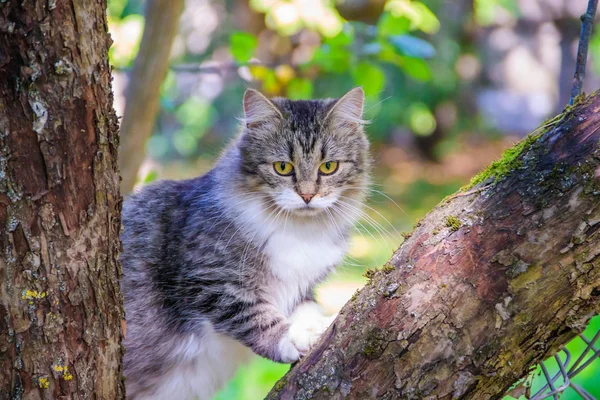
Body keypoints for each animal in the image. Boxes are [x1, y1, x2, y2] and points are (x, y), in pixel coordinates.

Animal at [121, 86, 370, 398]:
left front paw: (316, 327)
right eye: (283, 167)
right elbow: (256, 315)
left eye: (328, 167)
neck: (300, 232)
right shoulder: (211, 281)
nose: (307, 196)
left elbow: (306, 308)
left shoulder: (301, 286)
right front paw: (289, 339)